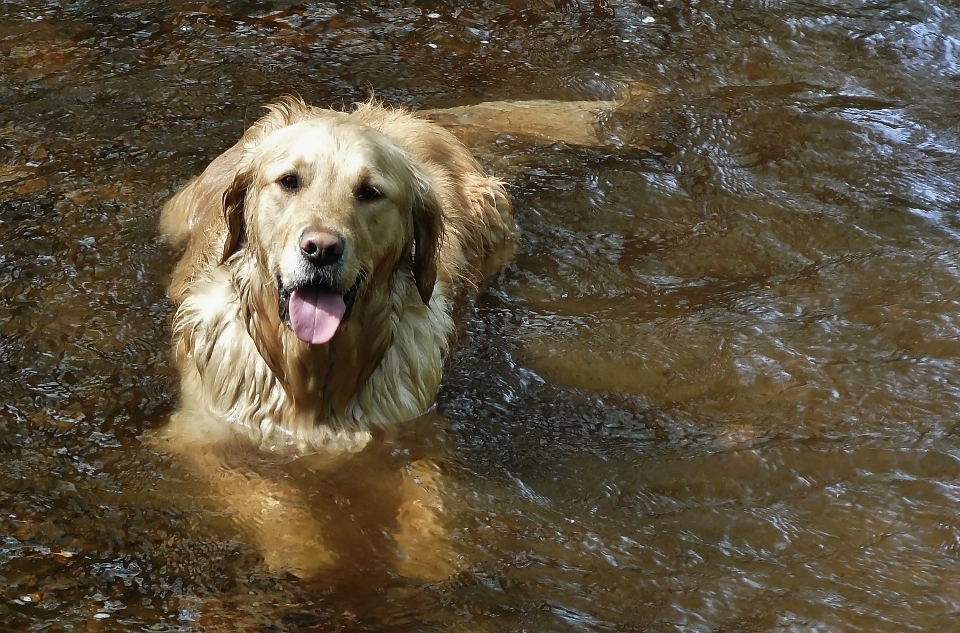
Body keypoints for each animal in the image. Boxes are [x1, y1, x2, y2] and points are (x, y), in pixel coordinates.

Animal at [158, 97, 512, 576]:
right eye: (289, 181)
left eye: (369, 192)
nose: (321, 248)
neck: (314, 369)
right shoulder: (201, 435)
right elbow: (265, 495)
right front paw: (306, 548)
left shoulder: (418, 429)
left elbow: (430, 491)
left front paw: (429, 552)